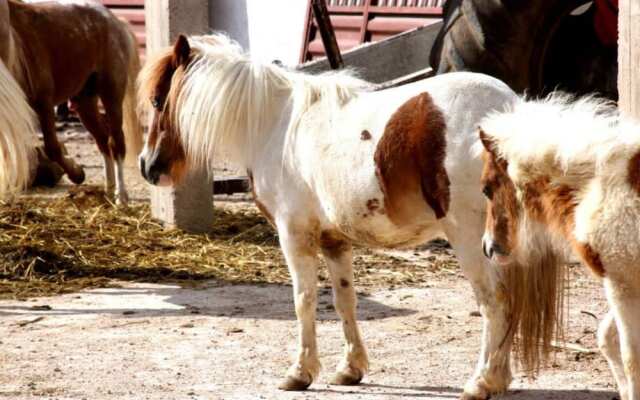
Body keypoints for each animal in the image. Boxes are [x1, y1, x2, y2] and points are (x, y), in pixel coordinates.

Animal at [1, 0, 142, 205]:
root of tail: (115, 20)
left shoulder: (43, 103)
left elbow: (52, 148)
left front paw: (78, 173)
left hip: (111, 96)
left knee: (116, 143)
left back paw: (120, 196)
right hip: (85, 103)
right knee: (103, 141)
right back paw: (108, 190)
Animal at [138, 33, 564, 396]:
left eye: (159, 101)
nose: (147, 166)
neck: (276, 124)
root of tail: (509, 113)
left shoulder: (294, 235)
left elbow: (304, 299)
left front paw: (300, 372)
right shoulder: (334, 241)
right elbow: (345, 301)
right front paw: (350, 369)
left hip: (472, 240)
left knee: (495, 301)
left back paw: (481, 382)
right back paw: (499, 379)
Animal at [480, 96, 640, 400]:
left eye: (486, 188)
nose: (488, 247)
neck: (599, 184)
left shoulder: (621, 283)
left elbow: (630, 356)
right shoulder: (622, 281)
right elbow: (607, 338)